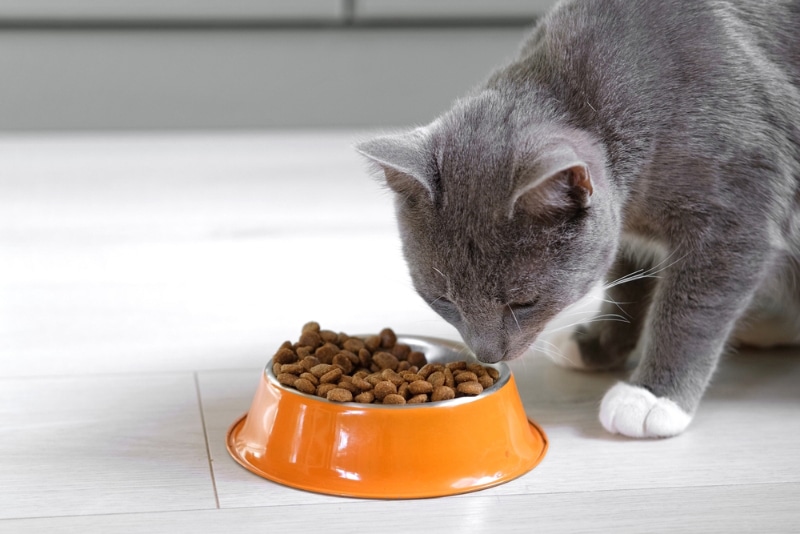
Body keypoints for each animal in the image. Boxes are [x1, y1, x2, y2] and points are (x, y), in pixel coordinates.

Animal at [358, 0, 800, 440]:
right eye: (442, 299)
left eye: (524, 302)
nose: (487, 353)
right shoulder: (624, 229)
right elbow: (628, 282)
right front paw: (600, 344)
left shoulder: (736, 209)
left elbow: (692, 307)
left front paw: (651, 397)